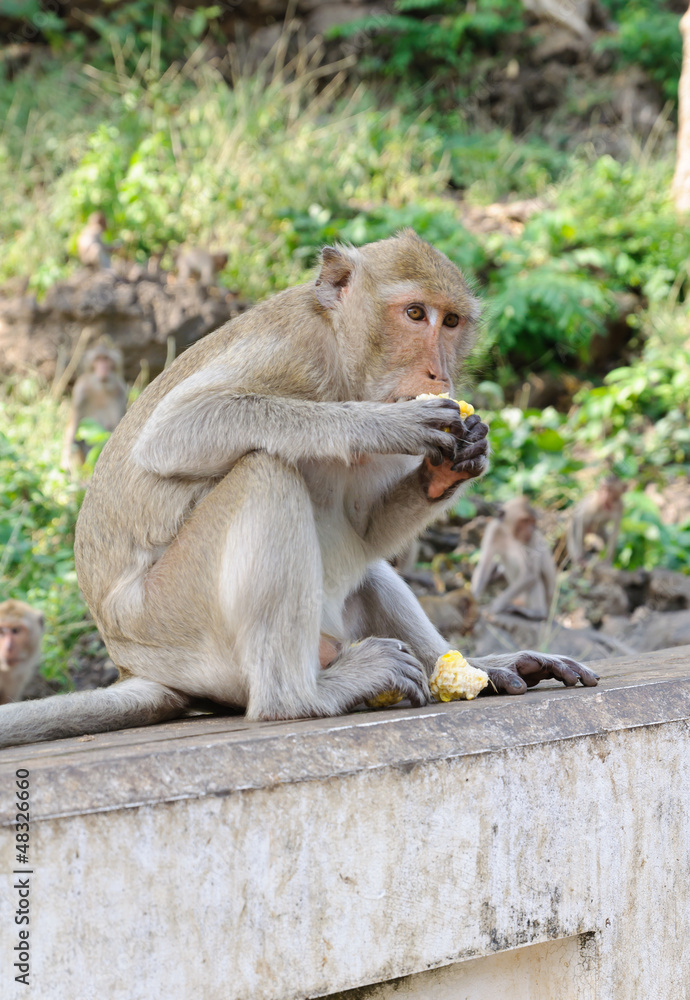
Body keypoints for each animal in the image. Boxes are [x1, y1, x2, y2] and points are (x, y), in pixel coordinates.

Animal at [0, 232, 597, 748]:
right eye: (414, 314)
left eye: (450, 321)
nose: (438, 373)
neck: (342, 359)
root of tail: (130, 660)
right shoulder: (289, 349)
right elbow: (174, 431)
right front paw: (380, 426)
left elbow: (364, 527)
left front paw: (454, 466)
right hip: (172, 620)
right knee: (263, 472)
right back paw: (301, 697)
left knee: (365, 567)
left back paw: (480, 669)